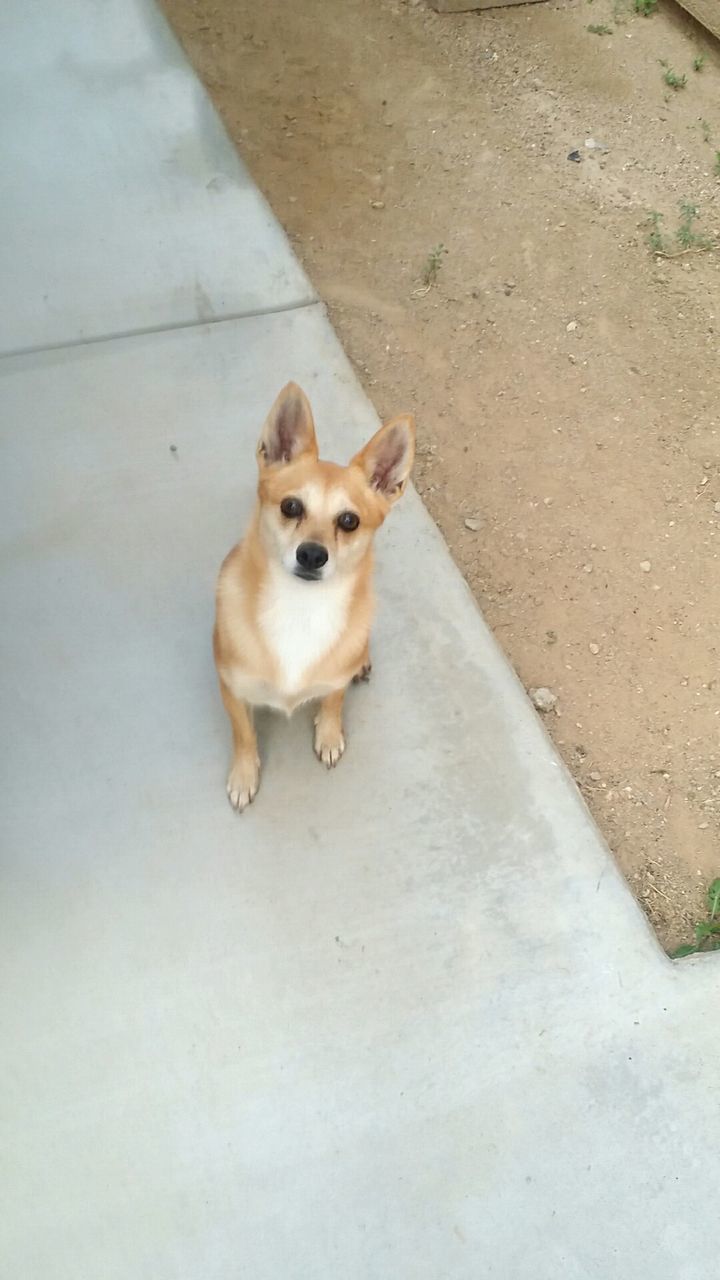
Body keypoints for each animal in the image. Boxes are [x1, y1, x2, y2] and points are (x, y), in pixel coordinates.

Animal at [212, 378, 412, 814]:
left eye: (349, 521)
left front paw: (329, 735)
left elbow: (333, 702)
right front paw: (244, 775)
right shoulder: (232, 690)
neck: (299, 609)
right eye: (291, 506)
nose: (312, 554)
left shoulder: (334, 681)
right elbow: (243, 735)